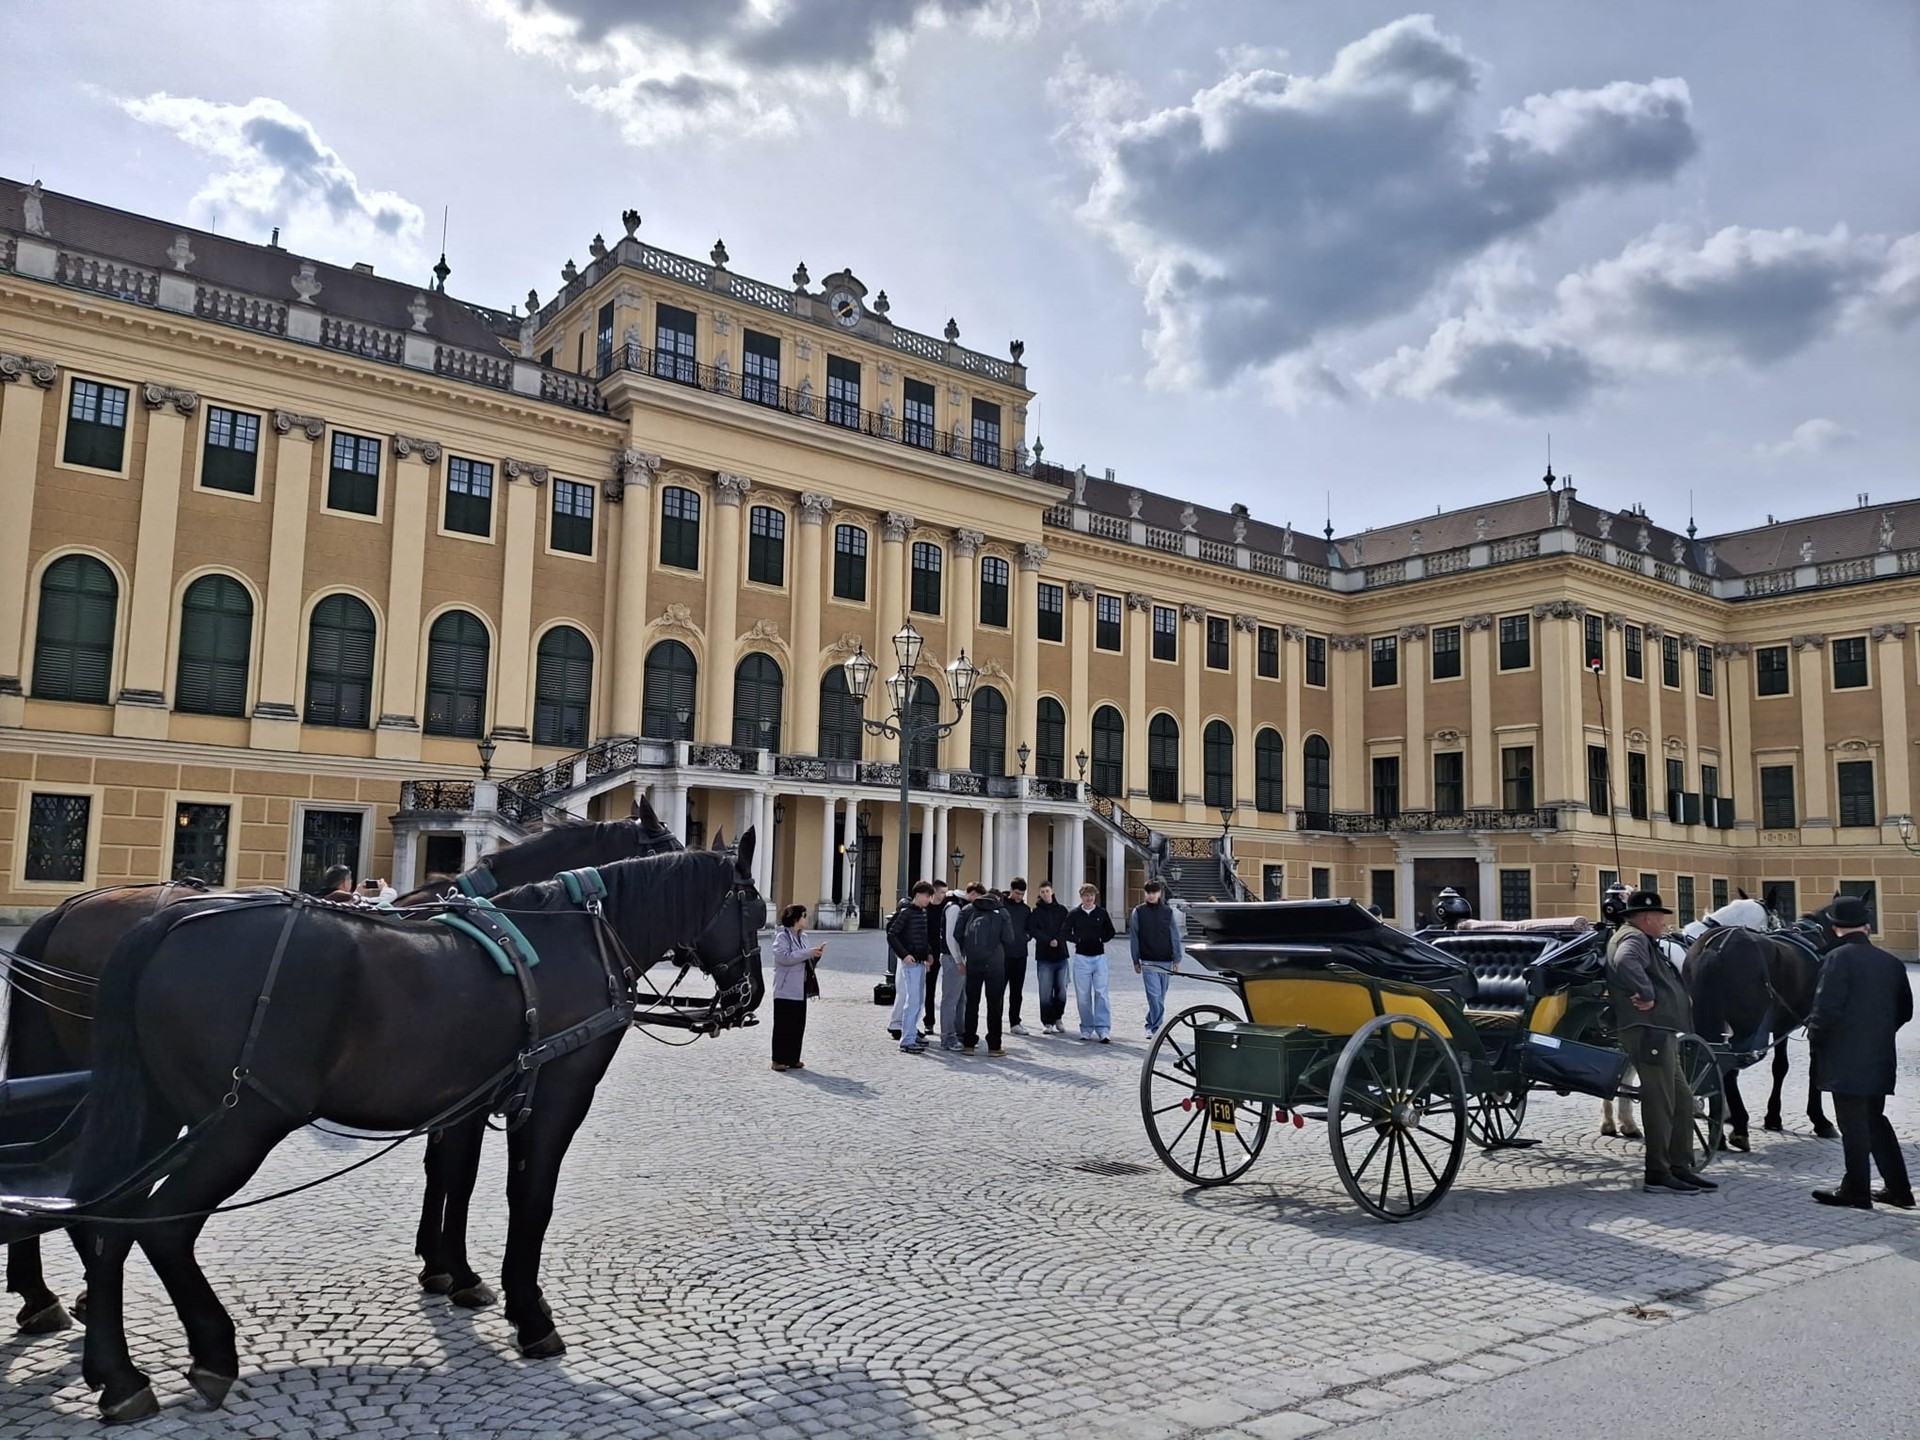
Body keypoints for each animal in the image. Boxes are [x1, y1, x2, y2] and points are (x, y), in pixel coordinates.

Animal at [1, 799, 678, 1336]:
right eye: (671, 845)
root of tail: (64, 912)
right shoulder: (467, 1092)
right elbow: (455, 1175)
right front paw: (455, 1270)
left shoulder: (457, 1091)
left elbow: (443, 1172)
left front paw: (438, 1264)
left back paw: (47, 1293)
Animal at [21, 839, 762, 1423]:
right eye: (754, 909)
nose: (749, 997)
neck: (575, 937)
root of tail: (166, 924)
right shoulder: (557, 1095)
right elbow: (529, 1200)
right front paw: (526, 1311)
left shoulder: (465, 1102)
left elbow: (456, 1178)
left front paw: (451, 1272)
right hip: (239, 1124)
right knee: (161, 1225)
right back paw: (205, 1352)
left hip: (159, 1112)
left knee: (106, 1219)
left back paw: (115, 1372)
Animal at [1686, 901, 1837, 1151]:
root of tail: (1716, 948)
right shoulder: (1814, 1024)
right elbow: (1814, 1068)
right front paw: (1820, 1120)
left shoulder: (1781, 1025)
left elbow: (1780, 1067)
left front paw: (1773, 1116)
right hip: (1743, 1026)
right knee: (1729, 1069)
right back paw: (1738, 1126)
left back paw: (1718, 1131)